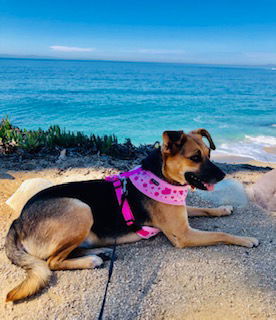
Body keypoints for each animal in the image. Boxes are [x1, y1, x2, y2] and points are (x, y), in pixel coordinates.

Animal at [4, 128, 258, 302]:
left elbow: (204, 209)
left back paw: (101, 252)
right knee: (52, 261)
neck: (161, 176)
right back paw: (91, 259)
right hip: (80, 208)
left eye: (208, 154)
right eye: (195, 157)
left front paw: (223, 209)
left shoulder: (182, 214)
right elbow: (223, 234)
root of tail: (18, 220)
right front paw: (246, 239)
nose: (223, 175)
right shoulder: (183, 235)